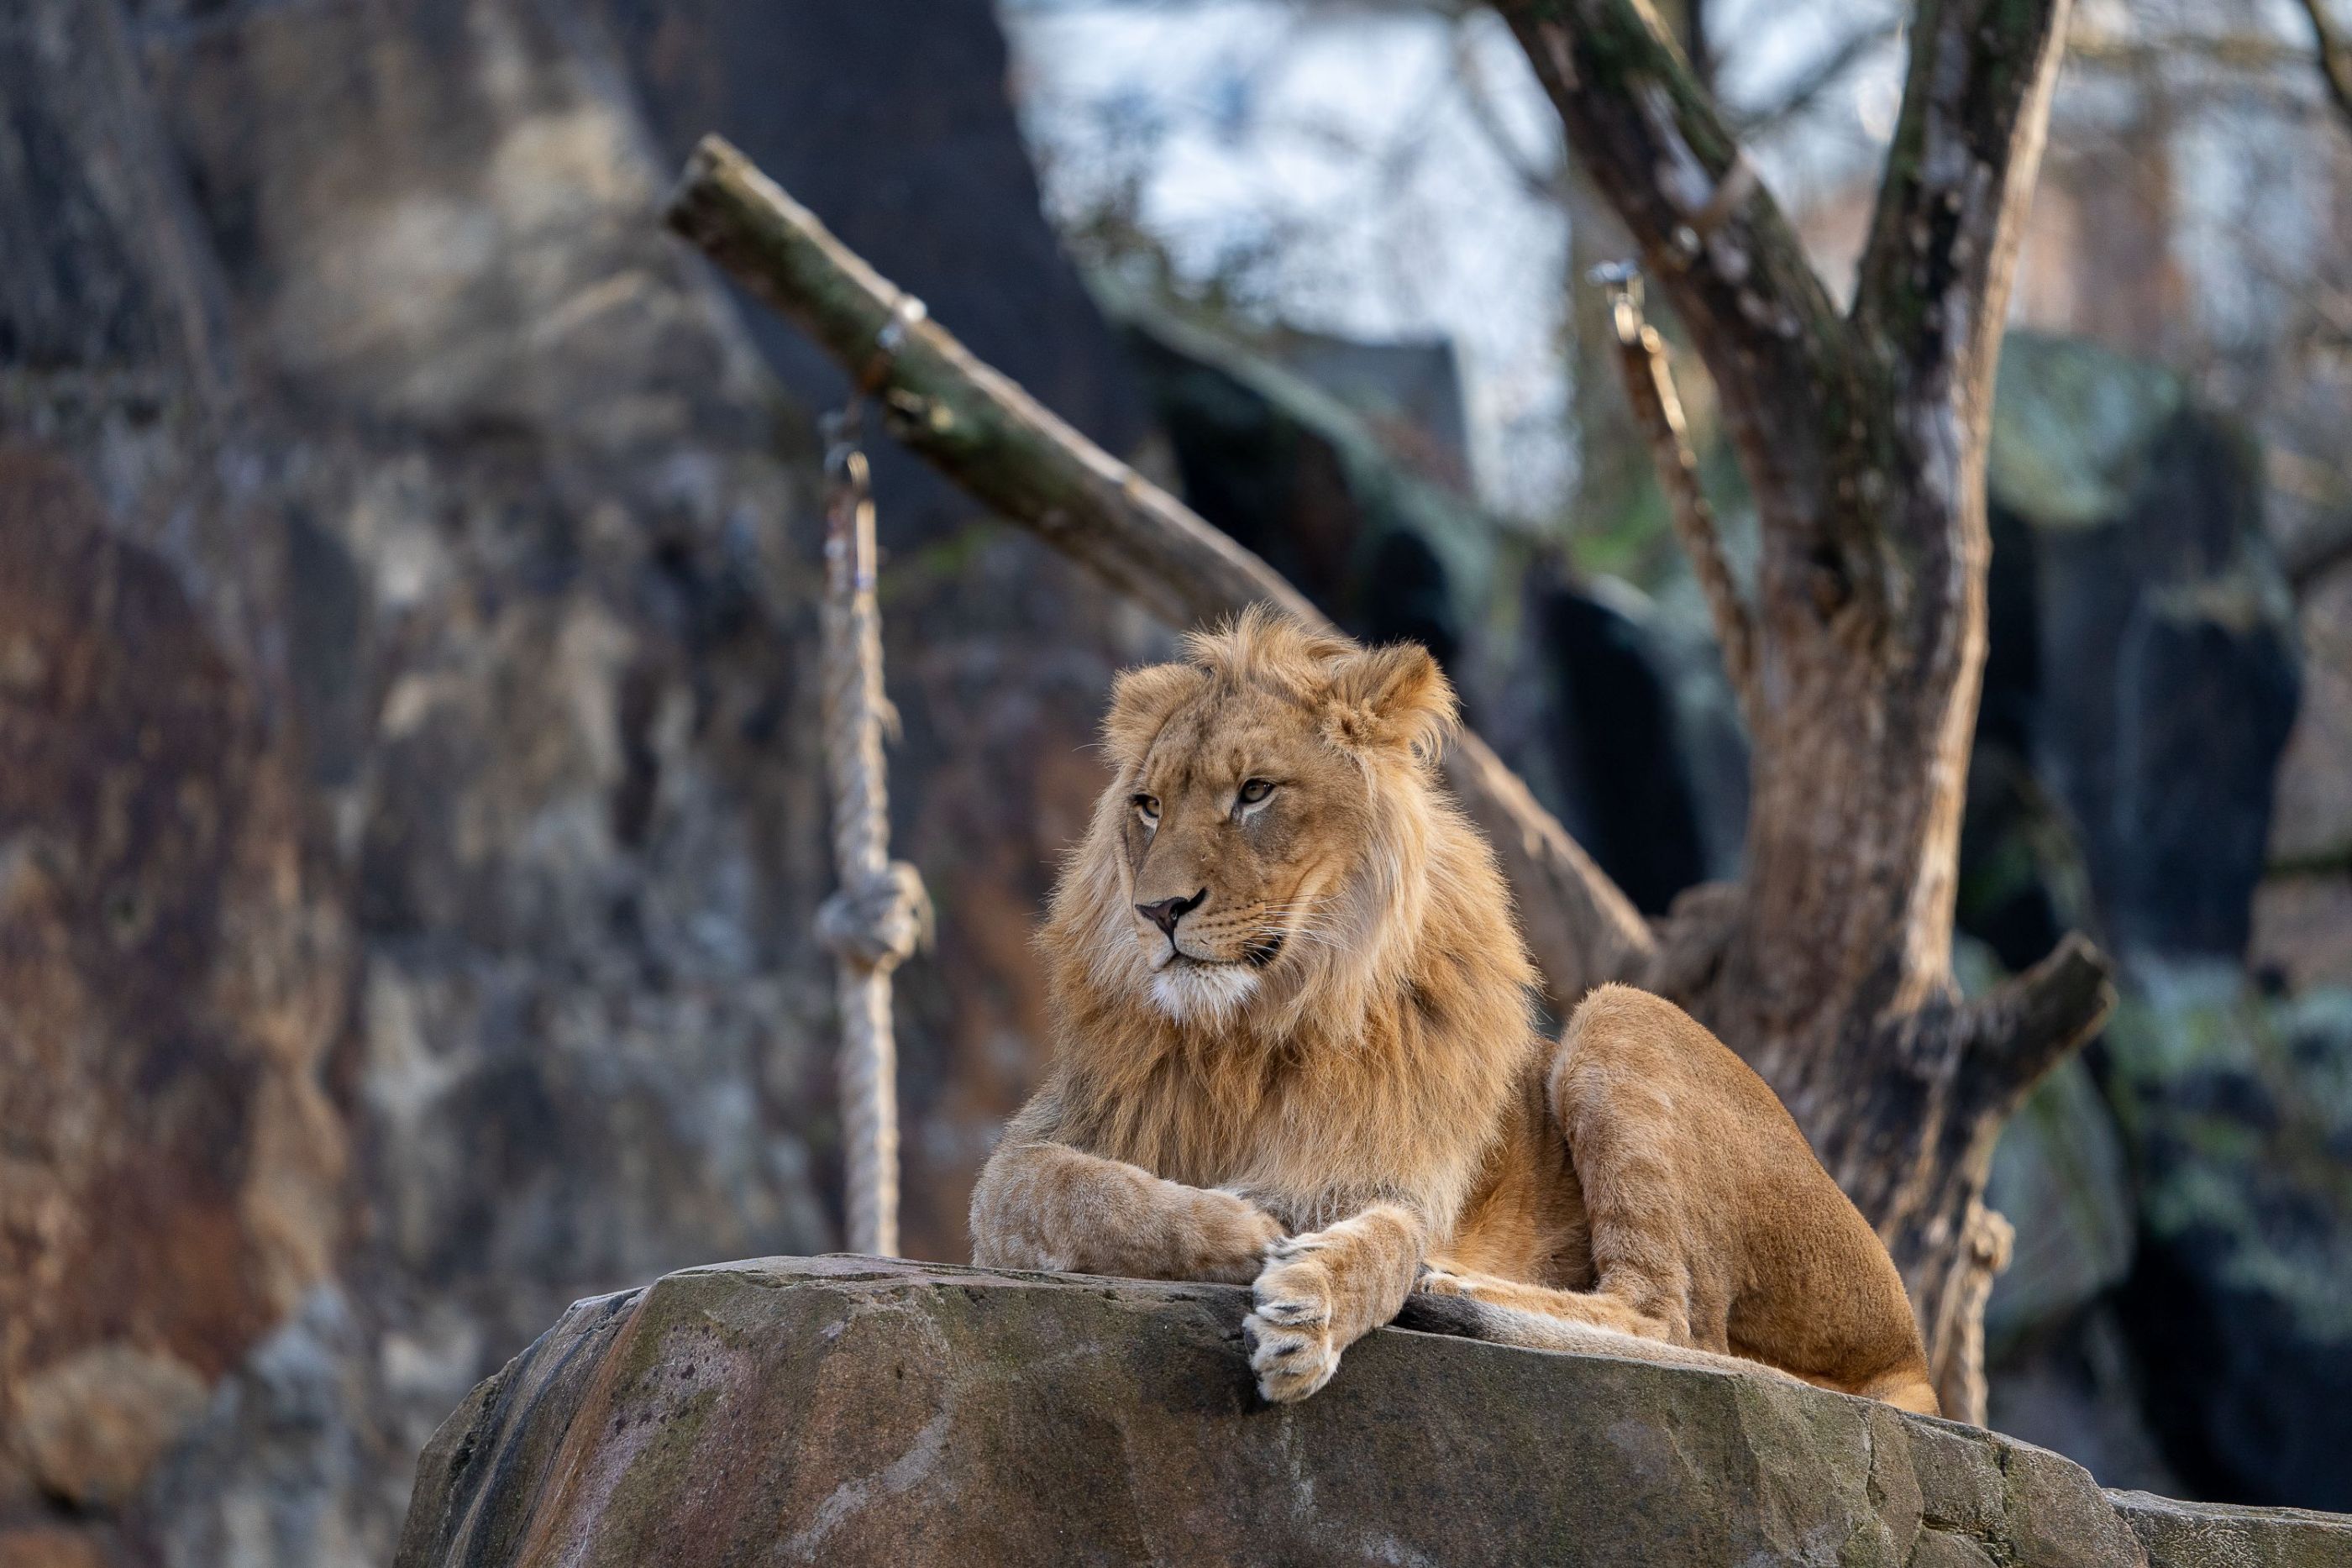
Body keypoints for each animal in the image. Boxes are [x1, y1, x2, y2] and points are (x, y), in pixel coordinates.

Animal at [964, 606, 1938, 1419]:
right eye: (1148, 805)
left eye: (1255, 792)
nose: (1157, 910)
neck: (1253, 1029)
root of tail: (1913, 1346)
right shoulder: (1031, 1161)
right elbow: (1068, 1188)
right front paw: (1245, 1228)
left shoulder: (1393, 1169)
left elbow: (1386, 1239)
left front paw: (1309, 1303)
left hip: (1624, 1015)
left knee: (1671, 1320)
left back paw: (1449, 1287)